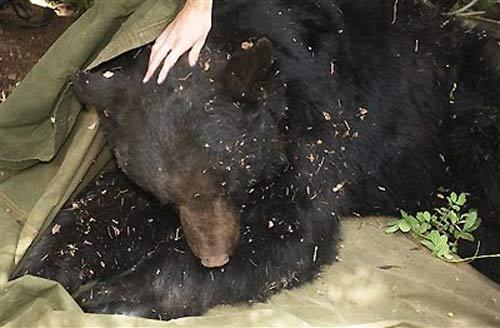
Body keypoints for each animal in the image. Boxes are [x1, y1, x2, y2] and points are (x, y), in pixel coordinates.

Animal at [10, 0, 500, 320]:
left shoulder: (322, 131)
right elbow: (106, 206)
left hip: (471, 114)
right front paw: (40, 267)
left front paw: (112, 293)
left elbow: (288, 234)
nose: (214, 257)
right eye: (166, 196)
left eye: (228, 179)